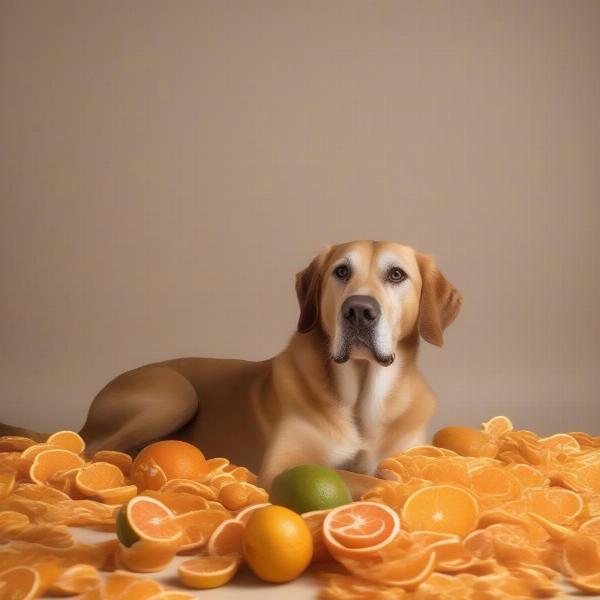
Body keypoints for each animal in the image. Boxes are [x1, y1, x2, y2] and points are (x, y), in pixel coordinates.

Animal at [1, 240, 460, 496]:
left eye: (397, 274)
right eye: (341, 271)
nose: (359, 311)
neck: (362, 396)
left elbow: (399, 469)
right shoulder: (281, 469)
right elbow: (375, 479)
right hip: (174, 394)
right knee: (88, 450)